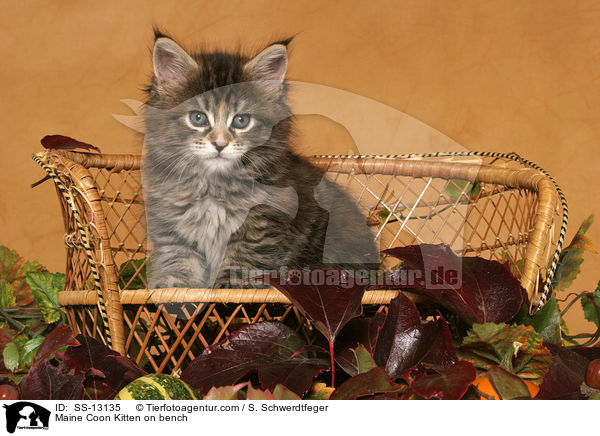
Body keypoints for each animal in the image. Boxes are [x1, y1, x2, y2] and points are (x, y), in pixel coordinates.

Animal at [142, 31, 378, 290]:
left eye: (241, 120)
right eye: (198, 117)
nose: (220, 144)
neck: (212, 184)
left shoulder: (258, 231)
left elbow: (236, 273)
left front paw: (223, 290)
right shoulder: (174, 231)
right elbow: (179, 268)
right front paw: (174, 289)